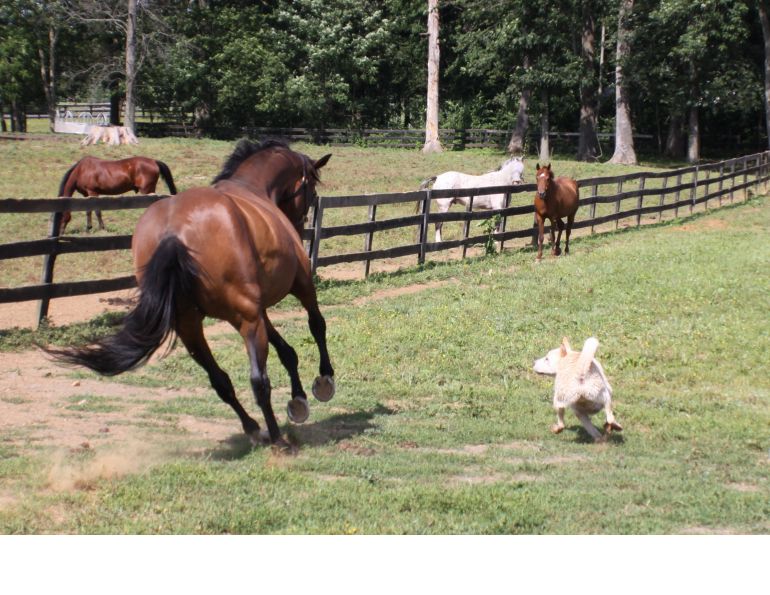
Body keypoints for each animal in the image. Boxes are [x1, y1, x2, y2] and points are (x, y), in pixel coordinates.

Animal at [45, 139, 334, 451]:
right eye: (311, 189)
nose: (299, 226)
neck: (253, 188)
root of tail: (174, 232)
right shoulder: (298, 286)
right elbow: (316, 325)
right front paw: (324, 382)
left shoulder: (257, 309)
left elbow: (287, 350)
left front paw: (298, 401)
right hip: (243, 320)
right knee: (258, 381)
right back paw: (277, 439)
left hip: (191, 327)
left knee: (220, 382)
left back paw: (254, 429)